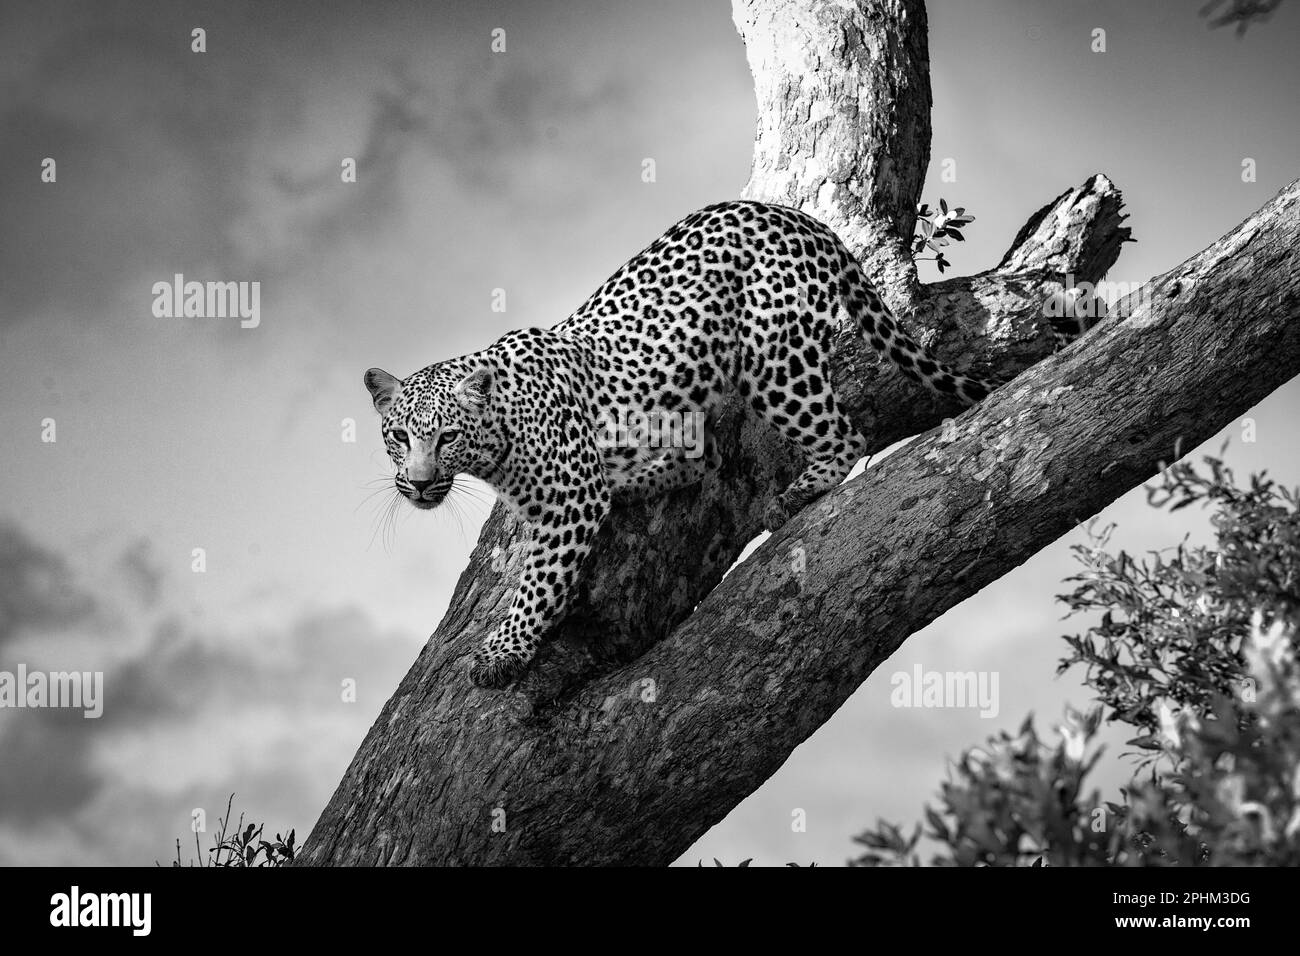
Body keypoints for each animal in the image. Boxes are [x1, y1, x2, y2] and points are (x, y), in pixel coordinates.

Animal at [366, 199, 1004, 689]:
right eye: (399, 437)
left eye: (447, 436)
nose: (418, 484)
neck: (498, 438)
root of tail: (802, 219)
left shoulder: (573, 498)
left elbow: (539, 584)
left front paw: (503, 653)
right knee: (713, 454)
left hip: (775, 361)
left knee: (842, 433)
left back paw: (799, 492)